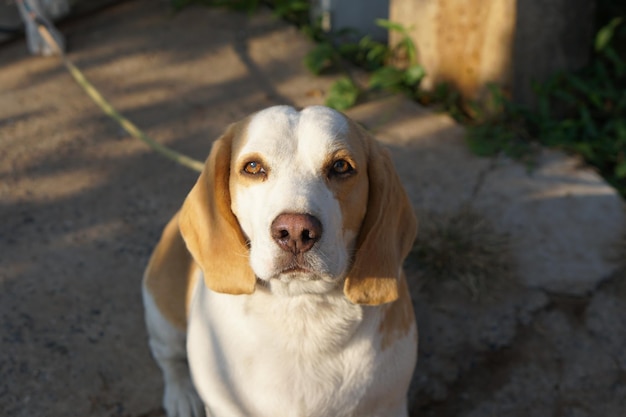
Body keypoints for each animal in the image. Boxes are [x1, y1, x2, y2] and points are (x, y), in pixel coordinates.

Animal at [143, 105, 416, 416]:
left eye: (340, 167)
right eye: (253, 167)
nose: (296, 231)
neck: (301, 309)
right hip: (163, 319)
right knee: (168, 358)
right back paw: (181, 395)